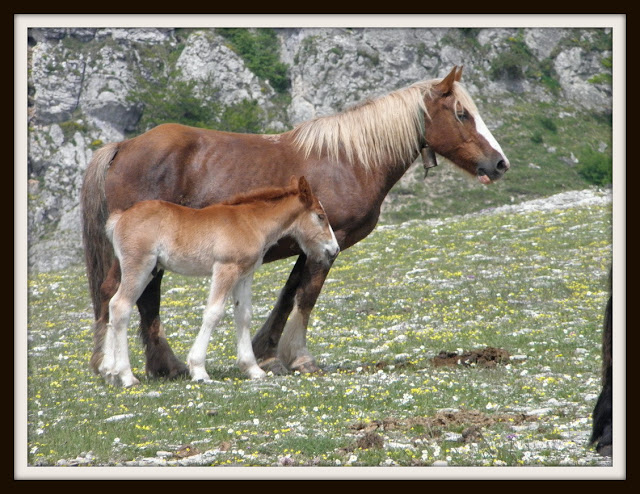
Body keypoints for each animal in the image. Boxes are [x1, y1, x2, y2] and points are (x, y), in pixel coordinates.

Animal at [101, 176, 339, 387]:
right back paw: (127, 376)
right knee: (121, 306)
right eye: (320, 216)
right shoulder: (226, 269)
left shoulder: (245, 275)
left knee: (113, 304)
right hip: (139, 266)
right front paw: (198, 369)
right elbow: (213, 313)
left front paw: (253, 369)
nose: (334, 249)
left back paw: (109, 372)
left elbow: (244, 316)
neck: (251, 223)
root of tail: (120, 218)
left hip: (146, 271)